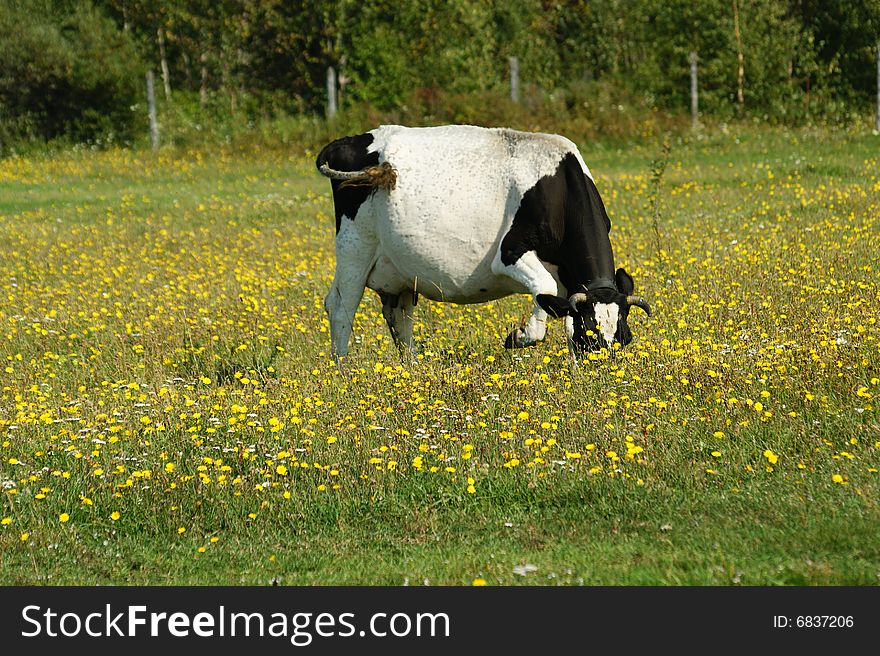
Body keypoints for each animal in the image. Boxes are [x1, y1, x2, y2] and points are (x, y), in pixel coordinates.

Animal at [318, 125, 652, 362]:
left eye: (624, 338)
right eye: (590, 337)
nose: (602, 377)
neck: (559, 188)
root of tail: (349, 140)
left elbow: (565, 314)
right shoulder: (509, 253)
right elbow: (544, 289)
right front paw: (518, 337)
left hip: (397, 271)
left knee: (399, 317)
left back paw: (412, 368)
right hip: (354, 249)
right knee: (340, 307)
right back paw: (343, 371)